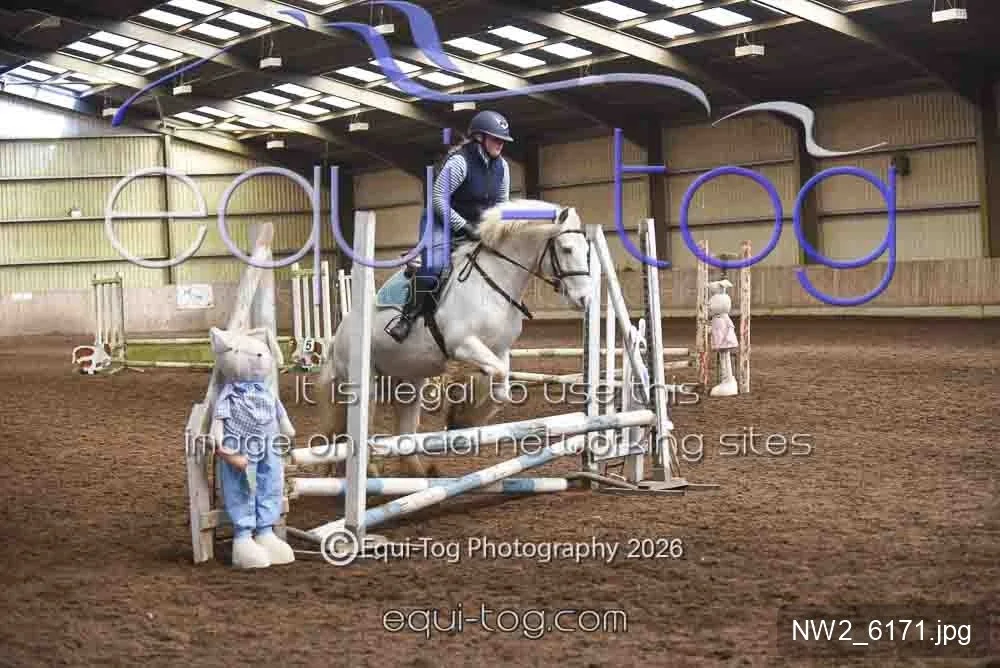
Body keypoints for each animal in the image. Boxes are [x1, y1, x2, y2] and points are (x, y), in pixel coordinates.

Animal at [316, 199, 594, 477]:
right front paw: (461, 413)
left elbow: (501, 387)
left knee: (404, 426)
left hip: (408, 381)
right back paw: (369, 468)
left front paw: (463, 418)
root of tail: (339, 335)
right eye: (567, 249)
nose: (584, 299)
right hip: (364, 382)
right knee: (358, 426)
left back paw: (418, 472)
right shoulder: (462, 345)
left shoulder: (499, 349)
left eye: (587, 250)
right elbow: (497, 373)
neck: (493, 281)